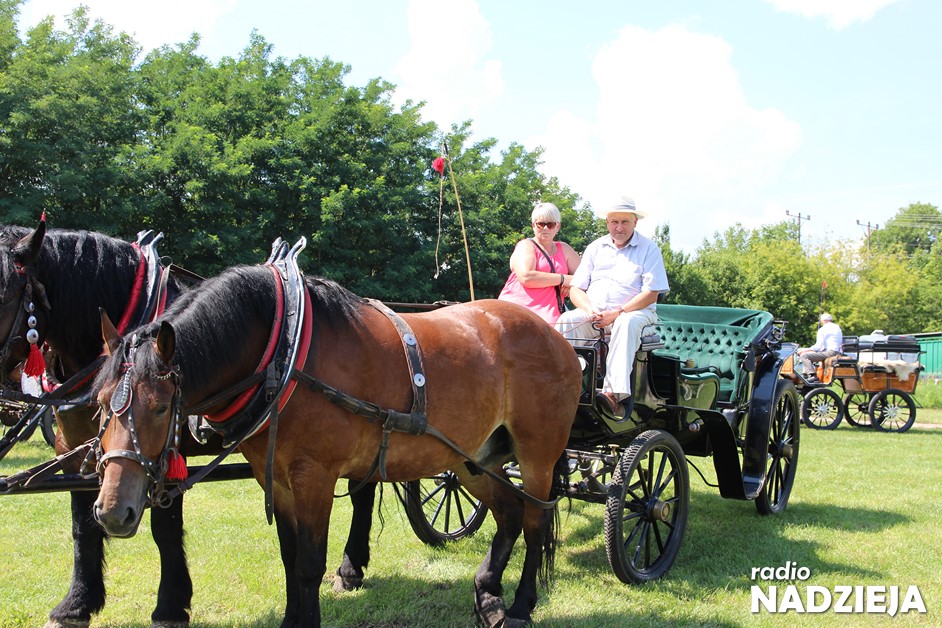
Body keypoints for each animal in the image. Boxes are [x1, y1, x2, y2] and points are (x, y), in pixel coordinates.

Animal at [0, 221, 203, 627]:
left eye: (1, 298)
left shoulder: (165, 450)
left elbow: (165, 529)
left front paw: (171, 605)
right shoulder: (74, 451)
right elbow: (83, 526)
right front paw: (77, 603)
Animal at [90, 259, 582, 627]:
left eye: (159, 408)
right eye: (99, 404)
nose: (113, 511)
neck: (286, 354)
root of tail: (556, 338)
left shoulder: (315, 476)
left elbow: (309, 564)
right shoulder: (276, 479)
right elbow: (289, 558)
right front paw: (291, 620)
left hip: (537, 455)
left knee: (536, 521)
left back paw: (520, 605)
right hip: (472, 459)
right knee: (508, 512)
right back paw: (487, 591)